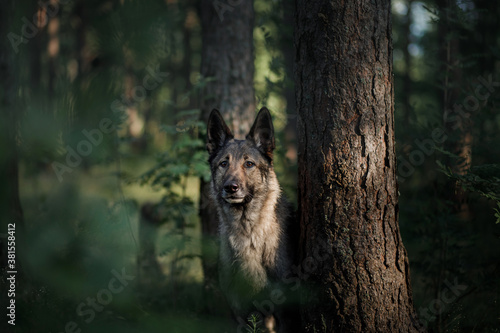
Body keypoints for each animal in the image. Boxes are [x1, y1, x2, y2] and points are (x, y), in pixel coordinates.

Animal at [206, 107, 296, 330]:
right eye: (223, 164)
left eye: (249, 164)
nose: (230, 187)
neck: (248, 234)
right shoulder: (242, 312)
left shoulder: (286, 312)